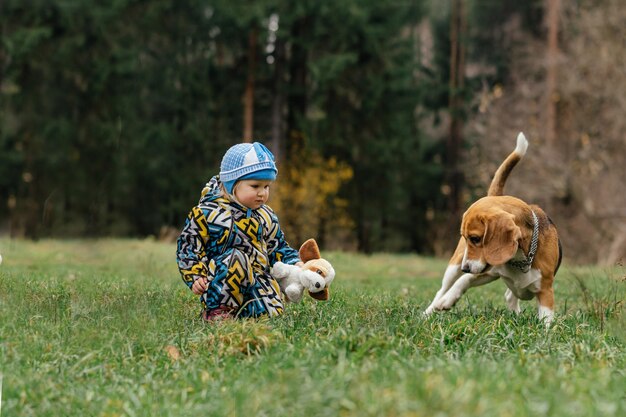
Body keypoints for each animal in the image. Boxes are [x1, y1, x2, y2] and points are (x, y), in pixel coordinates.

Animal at [424, 132, 560, 324]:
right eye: (465, 238)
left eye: (475, 239)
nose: (465, 267)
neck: (520, 258)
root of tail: (494, 195)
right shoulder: (487, 270)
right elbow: (463, 281)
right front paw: (447, 301)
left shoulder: (545, 290)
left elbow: (546, 319)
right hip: (456, 266)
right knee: (443, 288)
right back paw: (429, 311)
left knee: (510, 296)